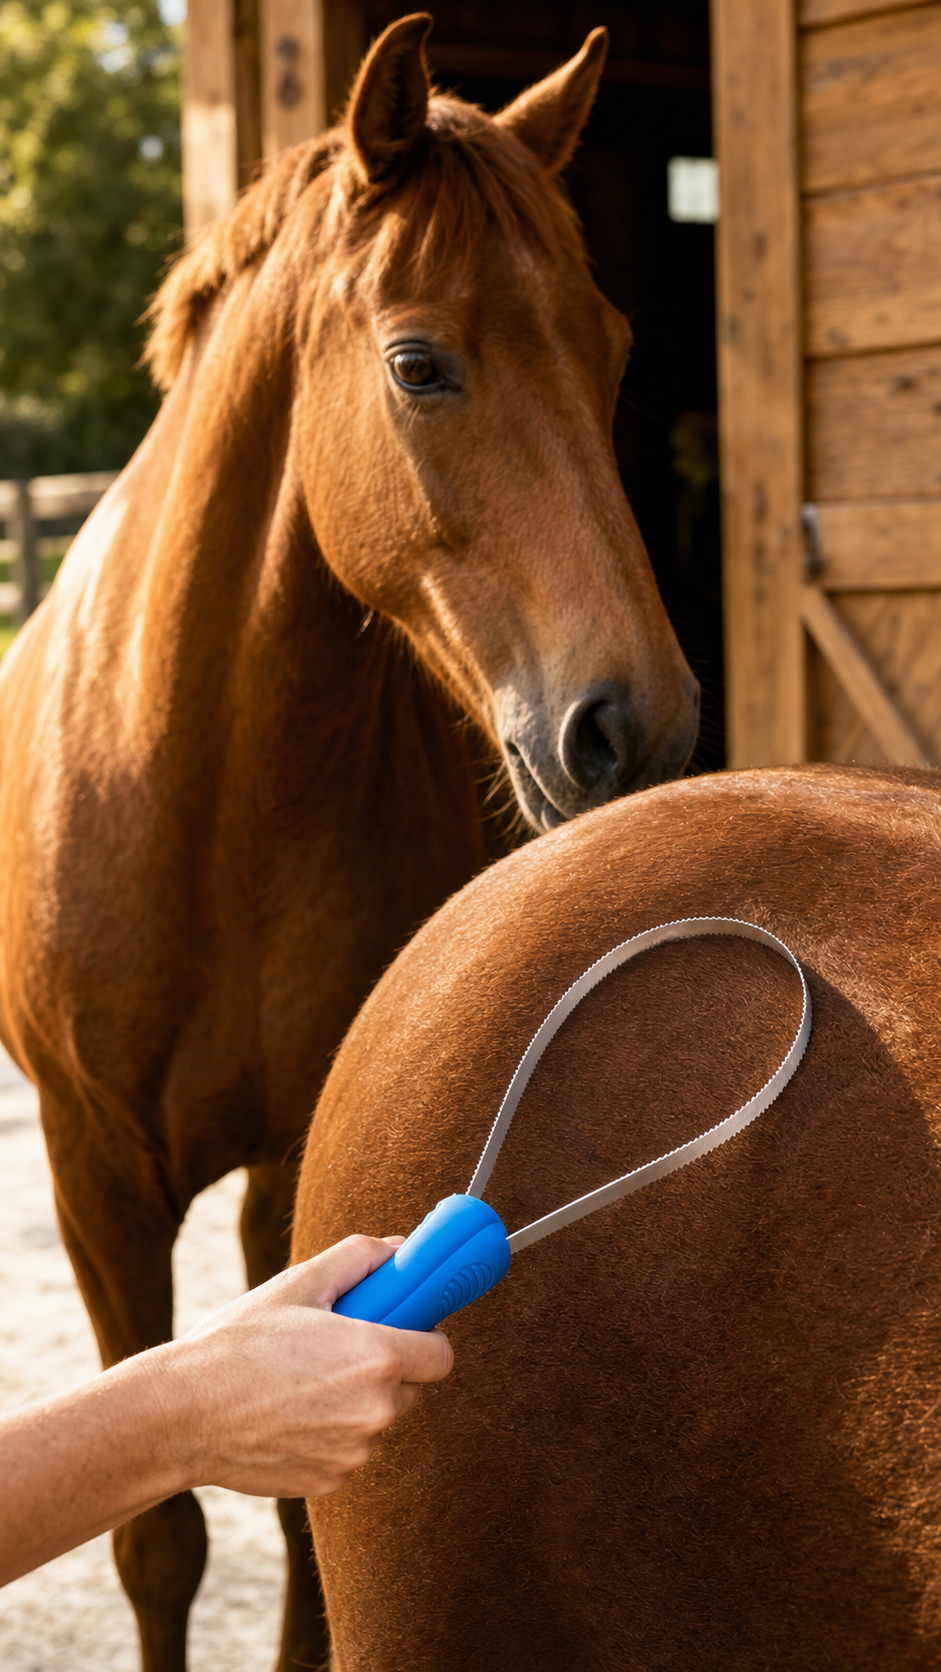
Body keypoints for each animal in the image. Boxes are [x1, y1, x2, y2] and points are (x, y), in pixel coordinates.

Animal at [0, 14, 698, 1671]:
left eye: (609, 348)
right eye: (419, 364)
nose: (633, 728)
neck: (197, 784)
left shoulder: (316, 1146)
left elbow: (313, 1533)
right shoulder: (93, 1183)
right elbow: (161, 1532)